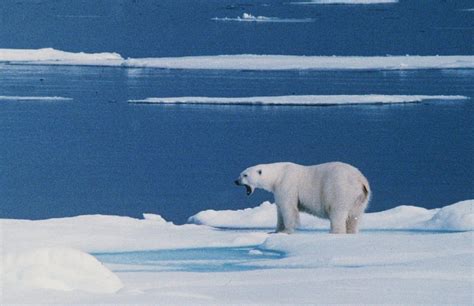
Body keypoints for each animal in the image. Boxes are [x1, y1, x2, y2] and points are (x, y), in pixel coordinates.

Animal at [235, 163, 372, 234]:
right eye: (241, 173)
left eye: (245, 175)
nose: (236, 181)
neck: (278, 175)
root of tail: (361, 180)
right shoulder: (278, 190)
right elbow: (280, 210)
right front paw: (276, 231)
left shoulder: (287, 184)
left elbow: (288, 209)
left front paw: (287, 231)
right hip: (359, 198)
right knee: (354, 216)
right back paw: (351, 232)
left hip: (340, 190)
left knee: (338, 212)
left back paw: (334, 232)